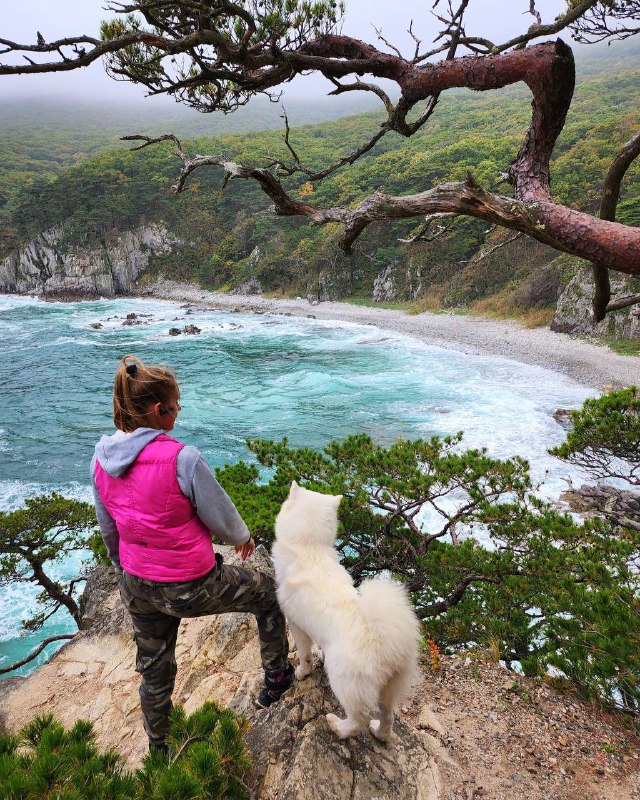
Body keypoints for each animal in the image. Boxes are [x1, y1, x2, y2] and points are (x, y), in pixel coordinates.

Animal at [272, 482, 418, 744]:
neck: (310, 548)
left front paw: (302, 672)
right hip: (389, 687)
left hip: (344, 681)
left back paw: (337, 727)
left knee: (357, 718)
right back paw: (379, 733)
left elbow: (304, 654)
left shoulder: (297, 625)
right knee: (388, 715)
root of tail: (384, 639)